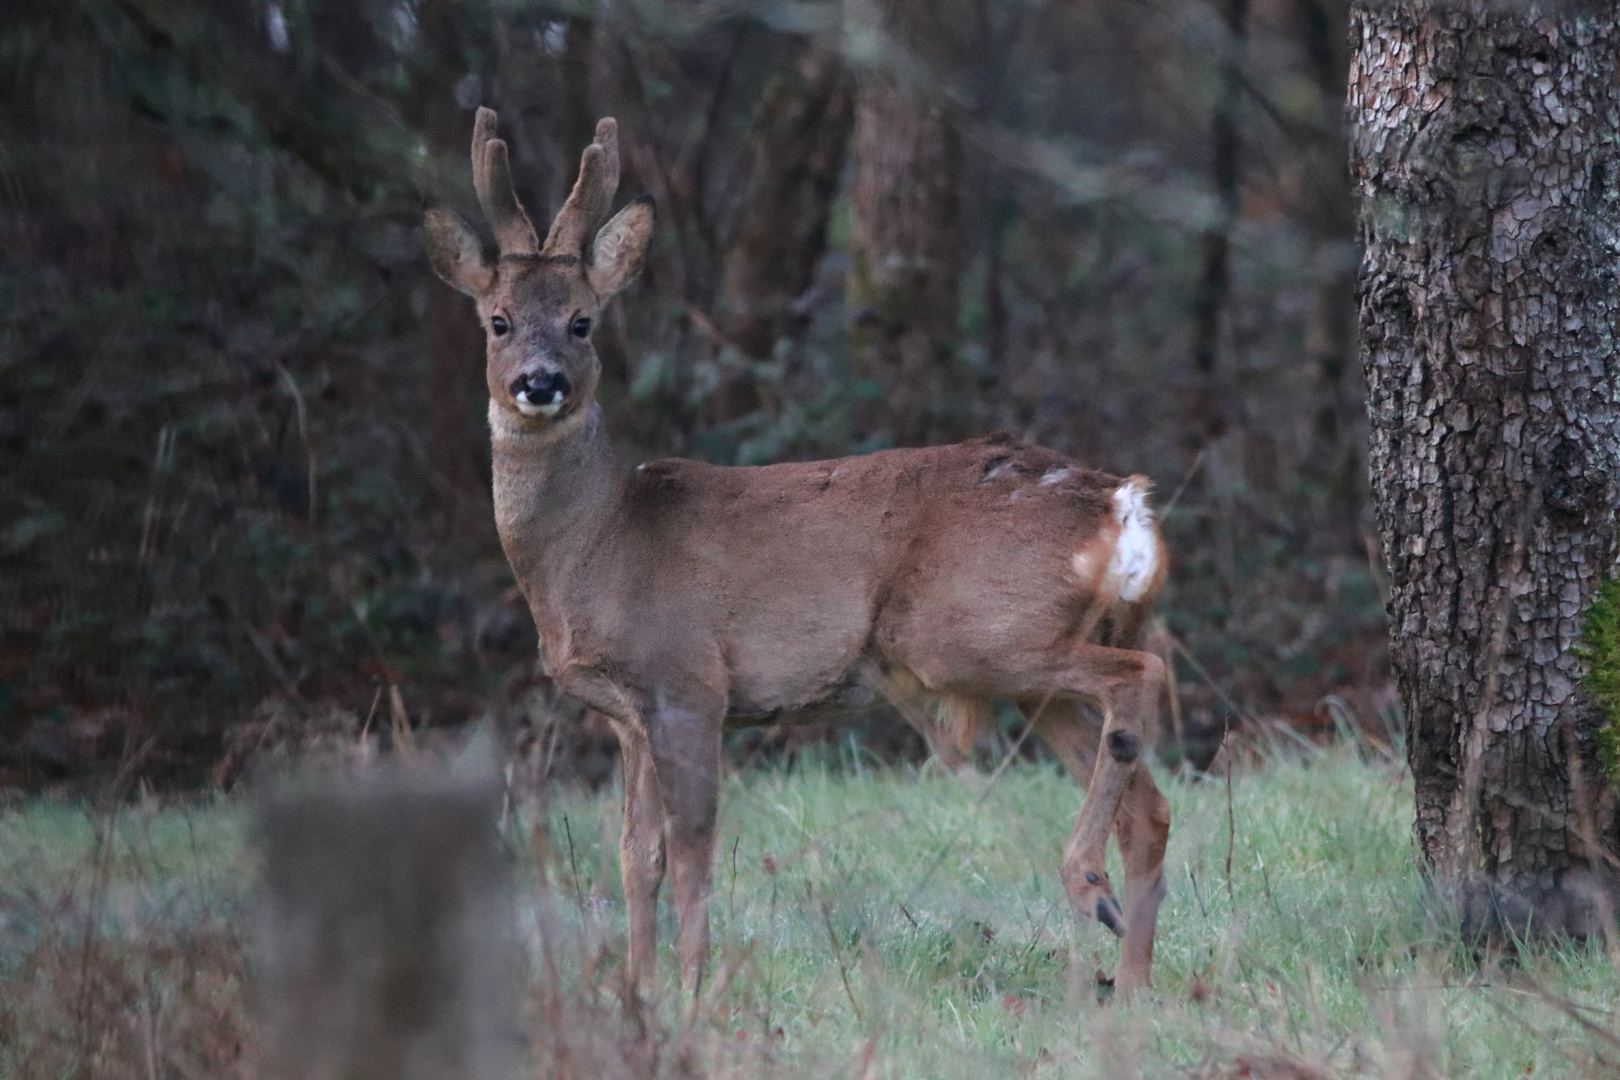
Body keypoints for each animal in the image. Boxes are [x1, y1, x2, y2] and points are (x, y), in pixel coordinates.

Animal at [424, 107, 1172, 997]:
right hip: (1031, 665)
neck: (599, 544)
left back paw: (1086, 885)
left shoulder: (689, 681)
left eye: (582, 320)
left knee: (1139, 681)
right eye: (498, 320)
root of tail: (1121, 503)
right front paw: (640, 991)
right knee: (1151, 807)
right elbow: (636, 857)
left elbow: (693, 856)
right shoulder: (627, 714)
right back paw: (1132, 985)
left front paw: (692, 993)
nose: (540, 383)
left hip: (971, 632)